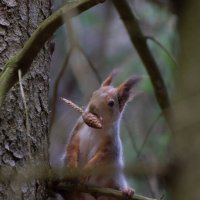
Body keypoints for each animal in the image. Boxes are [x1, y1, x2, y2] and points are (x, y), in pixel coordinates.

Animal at [61, 72, 141, 200]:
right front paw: (72, 167)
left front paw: (86, 172)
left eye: (111, 103)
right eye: (94, 93)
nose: (92, 107)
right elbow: (71, 147)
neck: (95, 128)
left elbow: (99, 159)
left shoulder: (110, 145)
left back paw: (126, 190)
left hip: (113, 177)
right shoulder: (77, 131)